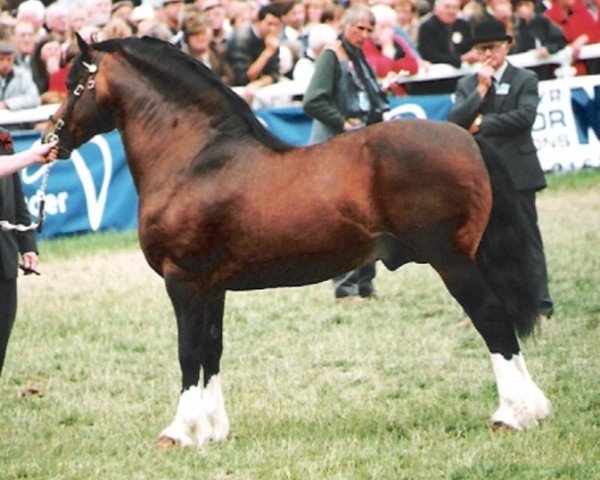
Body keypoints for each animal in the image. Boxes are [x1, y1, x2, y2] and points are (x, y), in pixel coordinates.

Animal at [44, 35, 552, 448]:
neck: (195, 159)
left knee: (492, 320)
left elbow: (188, 353)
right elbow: (211, 351)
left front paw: (180, 432)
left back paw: (514, 415)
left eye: (75, 83)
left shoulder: (183, 280)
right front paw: (213, 431)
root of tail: (468, 139)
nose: (51, 138)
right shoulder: (212, 286)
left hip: (453, 262)